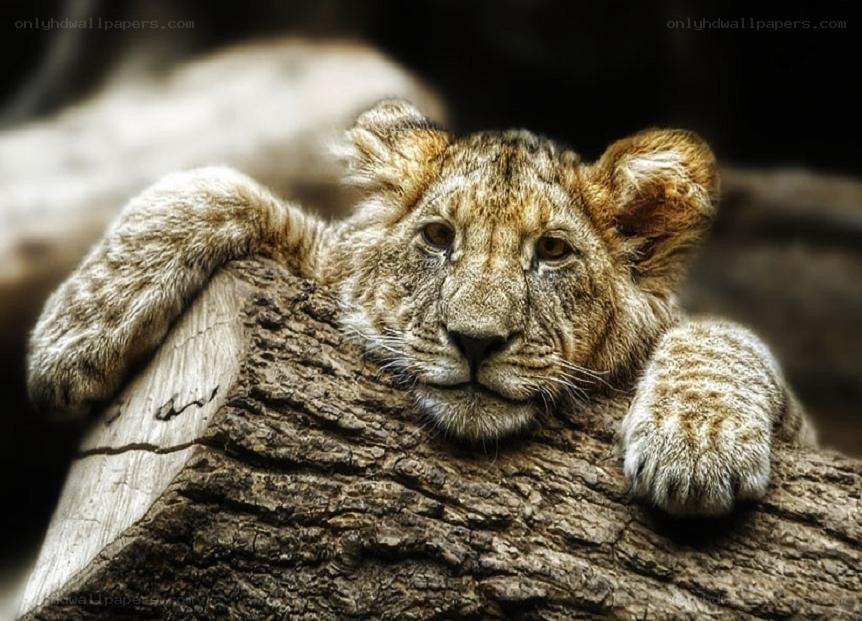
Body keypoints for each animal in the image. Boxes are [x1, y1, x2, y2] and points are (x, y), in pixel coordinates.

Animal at [26, 99, 815, 516]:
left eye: (553, 251)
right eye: (439, 237)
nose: (476, 341)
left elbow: (723, 333)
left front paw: (695, 447)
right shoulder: (328, 261)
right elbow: (204, 183)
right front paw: (71, 338)